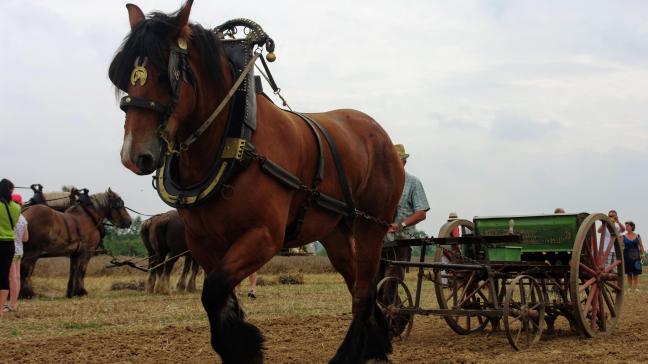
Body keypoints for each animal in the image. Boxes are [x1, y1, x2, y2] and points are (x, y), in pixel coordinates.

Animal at [109, 1, 402, 362]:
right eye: (125, 77)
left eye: (166, 75)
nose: (134, 155)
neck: (236, 142)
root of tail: (379, 133)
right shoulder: (202, 241)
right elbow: (222, 300)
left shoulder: (264, 236)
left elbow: (214, 291)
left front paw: (247, 345)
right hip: (334, 232)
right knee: (358, 284)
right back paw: (375, 344)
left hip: (372, 225)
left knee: (363, 291)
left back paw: (351, 353)